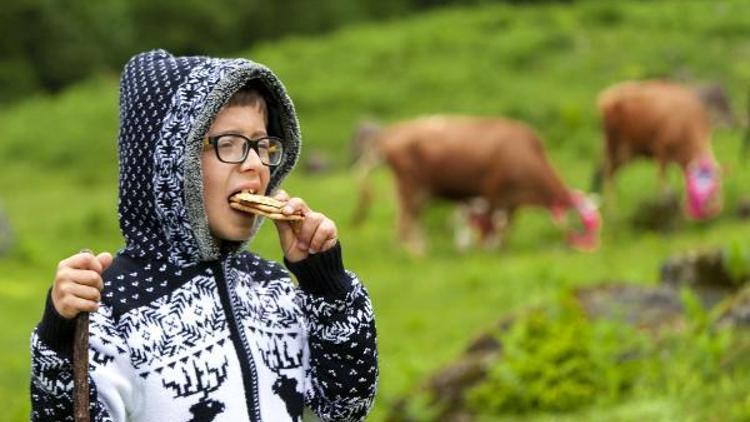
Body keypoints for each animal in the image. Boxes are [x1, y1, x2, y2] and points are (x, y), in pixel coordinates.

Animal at [352, 113, 604, 256]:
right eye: (583, 225)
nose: (593, 249)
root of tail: (388, 135)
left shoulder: (510, 201)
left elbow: (506, 224)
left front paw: (500, 247)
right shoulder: (494, 192)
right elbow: (496, 223)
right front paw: (489, 250)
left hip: (409, 188)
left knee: (404, 218)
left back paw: (406, 248)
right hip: (412, 186)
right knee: (409, 217)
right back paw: (417, 251)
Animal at [596, 81, 724, 221]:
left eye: (716, 186)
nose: (712, 210)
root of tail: (607, 95)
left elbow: (683, 180)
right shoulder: (661, 151)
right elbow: (662, 180)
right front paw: (664, 205)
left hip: (626, 152)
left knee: (611, 175)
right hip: (614, 147)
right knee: (608, 175)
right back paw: (612, 214)